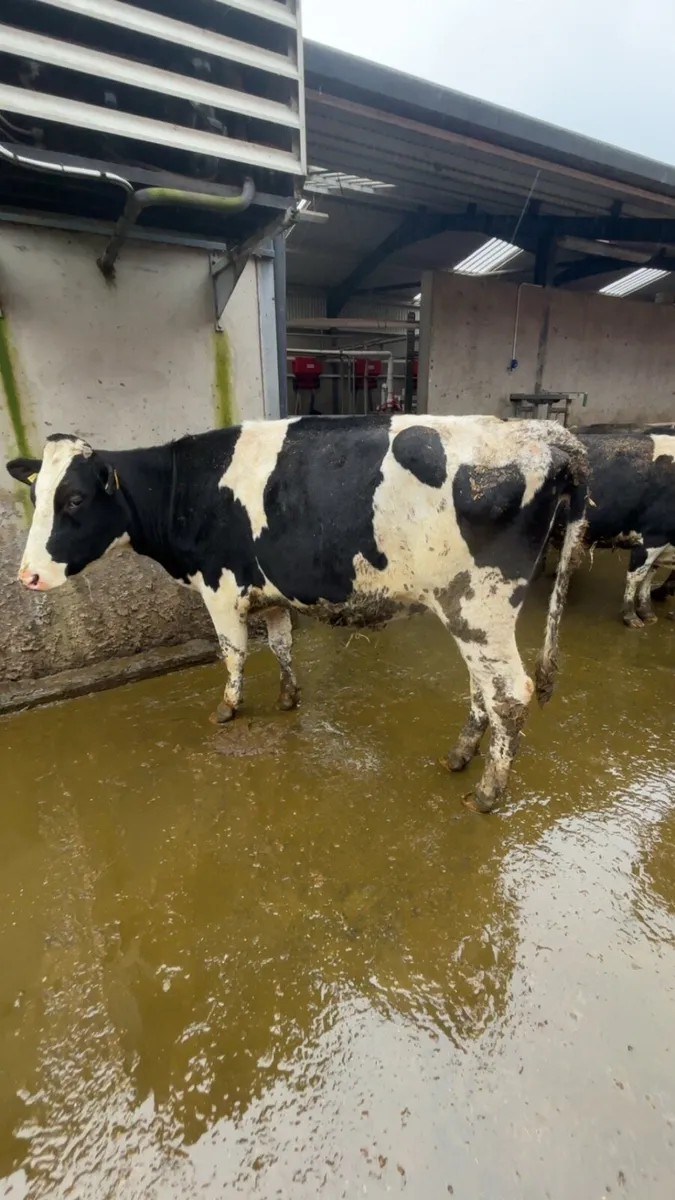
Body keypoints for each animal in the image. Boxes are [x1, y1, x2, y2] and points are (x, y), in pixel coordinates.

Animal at [6, 415, 587, 813]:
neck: (181, 486)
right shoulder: (272, 591)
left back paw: (488, 792)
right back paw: (461, 756)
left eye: (75, 499)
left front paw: (227, 708)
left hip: (480, 607)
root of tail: (549, 438)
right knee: (482, 688)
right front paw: (288, 697)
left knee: (509, 694)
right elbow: (281, 642)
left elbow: (233, 653)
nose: (27, 576)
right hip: (470, 614)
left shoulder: (219, 588)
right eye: (36, 495)